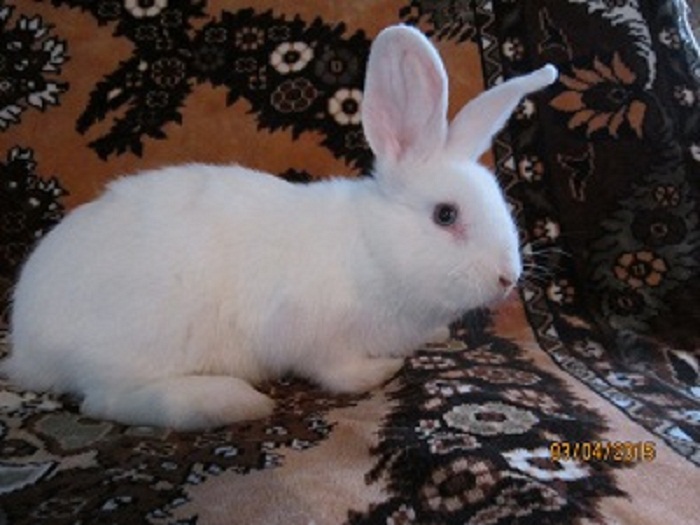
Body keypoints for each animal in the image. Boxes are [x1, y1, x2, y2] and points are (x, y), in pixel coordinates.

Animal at [2, 25, 557, 430]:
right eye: (445, 215)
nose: (509, 278)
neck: (369, 248)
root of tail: (29, 340)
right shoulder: (312, 334)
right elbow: (339, 372)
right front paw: (382, 370)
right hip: (141, 342)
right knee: (105, 401)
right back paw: (229, 402)